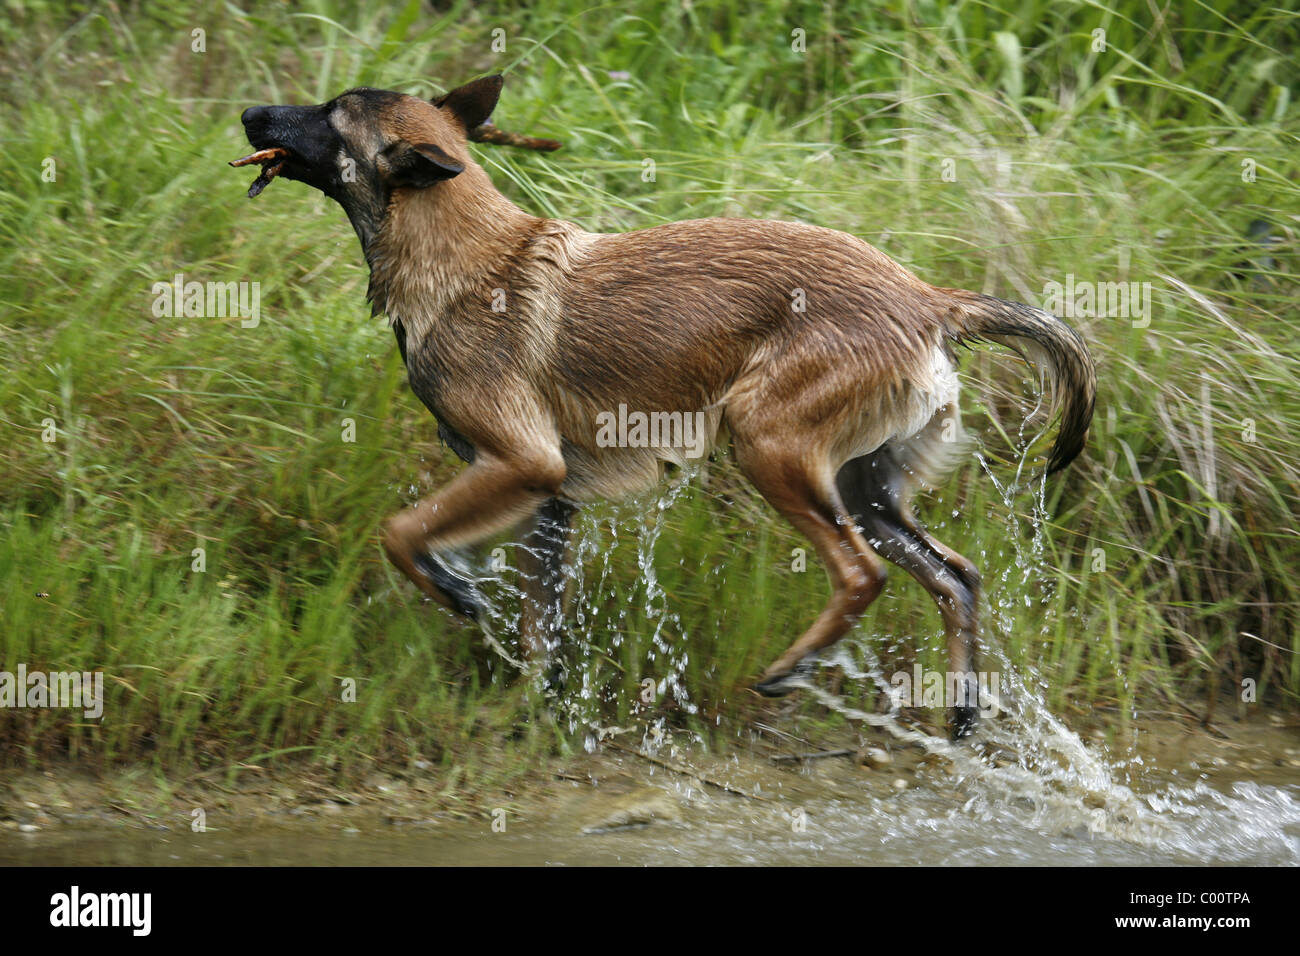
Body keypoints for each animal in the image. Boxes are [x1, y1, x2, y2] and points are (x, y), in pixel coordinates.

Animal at [236, 76, 1097, 738]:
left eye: (330, 113)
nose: (247, 112)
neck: (462, 257)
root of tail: (928, 298)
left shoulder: (521, 465)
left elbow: (401, 532)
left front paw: (454, 589)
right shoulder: (547, 503)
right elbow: (541, 630)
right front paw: (527, 714)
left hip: (769, 445)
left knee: (860, 575)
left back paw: (792, 668)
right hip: (867, 488)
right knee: (958, 577)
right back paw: (961, 712)